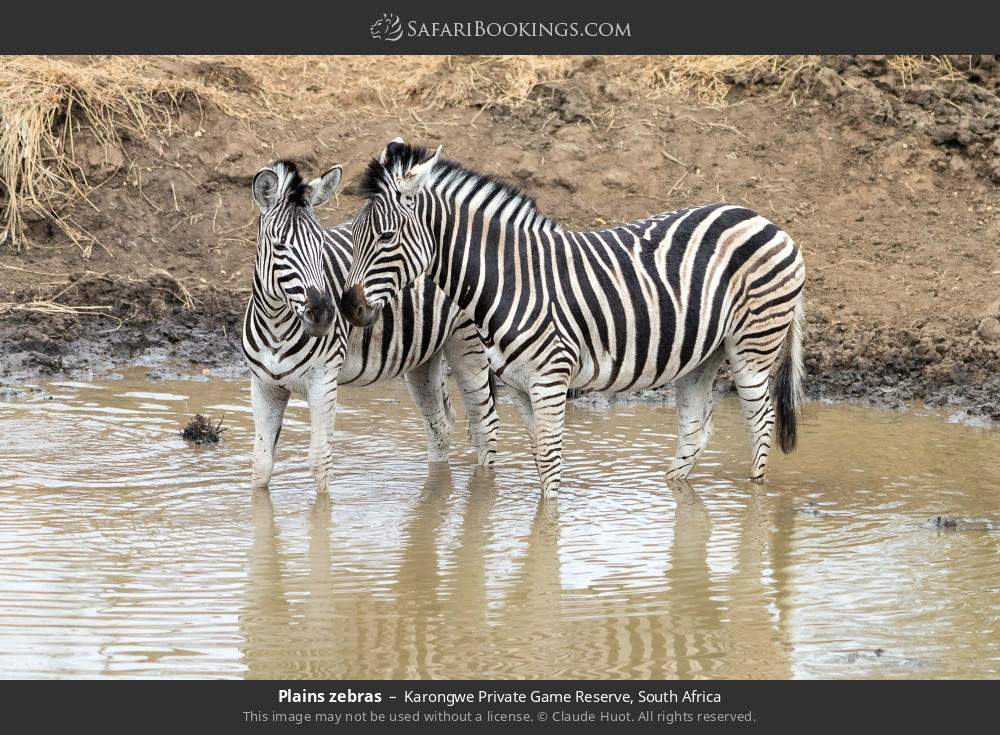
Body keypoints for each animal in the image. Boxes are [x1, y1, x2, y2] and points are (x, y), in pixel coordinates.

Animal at [243, 159, 499, 493]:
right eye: (279, 246)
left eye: (321, 244)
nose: (324, 313)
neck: (277, 325)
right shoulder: (263, 385)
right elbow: (261, 465)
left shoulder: (323, 381)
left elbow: (320, 461)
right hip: (424, 357)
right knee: (439, 430)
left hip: (469, 345)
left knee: (485, 428)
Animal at [340, 140, 806, 498]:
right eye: (355, 233)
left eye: (385, 237)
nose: (349, 307)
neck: (509, 279)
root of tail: (764, 220)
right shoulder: (521, 388)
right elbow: (539, 461)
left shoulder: (550, 379)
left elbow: (550, 467)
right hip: (702, 354)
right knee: (696, 429)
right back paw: (675, 488)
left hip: (753, 346)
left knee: (761, 423)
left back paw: (755, 498)